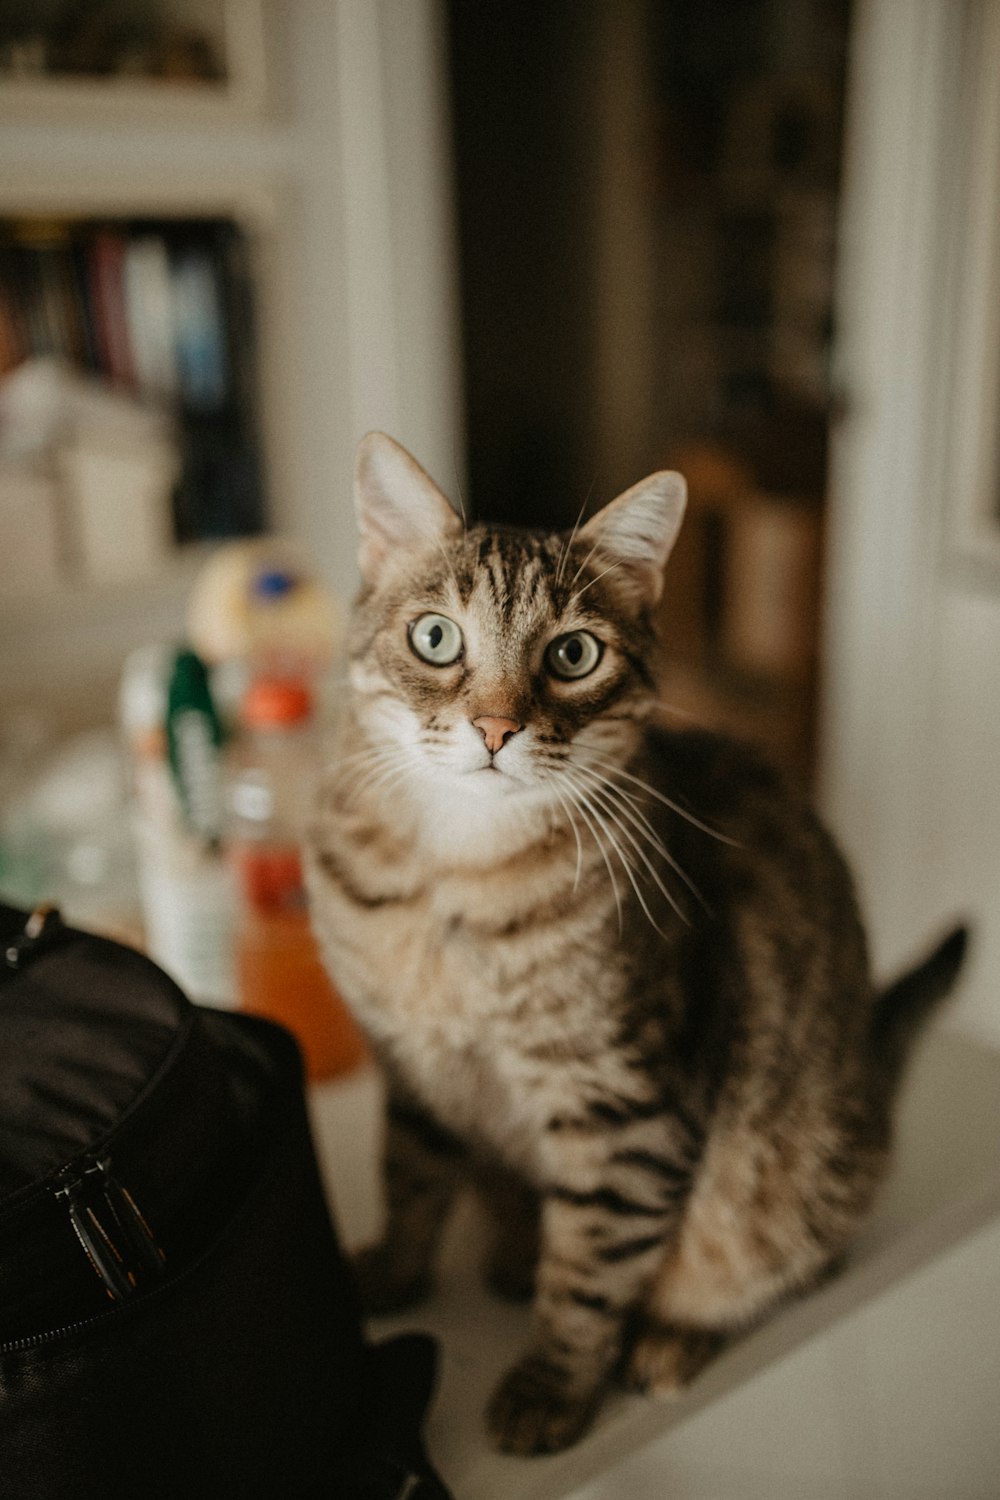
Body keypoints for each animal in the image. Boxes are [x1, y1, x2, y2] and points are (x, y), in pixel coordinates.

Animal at [307, 432, 971, 1452]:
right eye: (436, 638)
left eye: (574, 653)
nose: (496, 727)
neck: (453, 881)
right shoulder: (411, 1072)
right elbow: (411, 1179)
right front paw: (387, 1275)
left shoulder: (627, 1110)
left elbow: (585, 1277)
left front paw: (548, 1387)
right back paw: (510, 1252)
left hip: (795, 1172)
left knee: (789, 1260)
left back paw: (668, 1337)